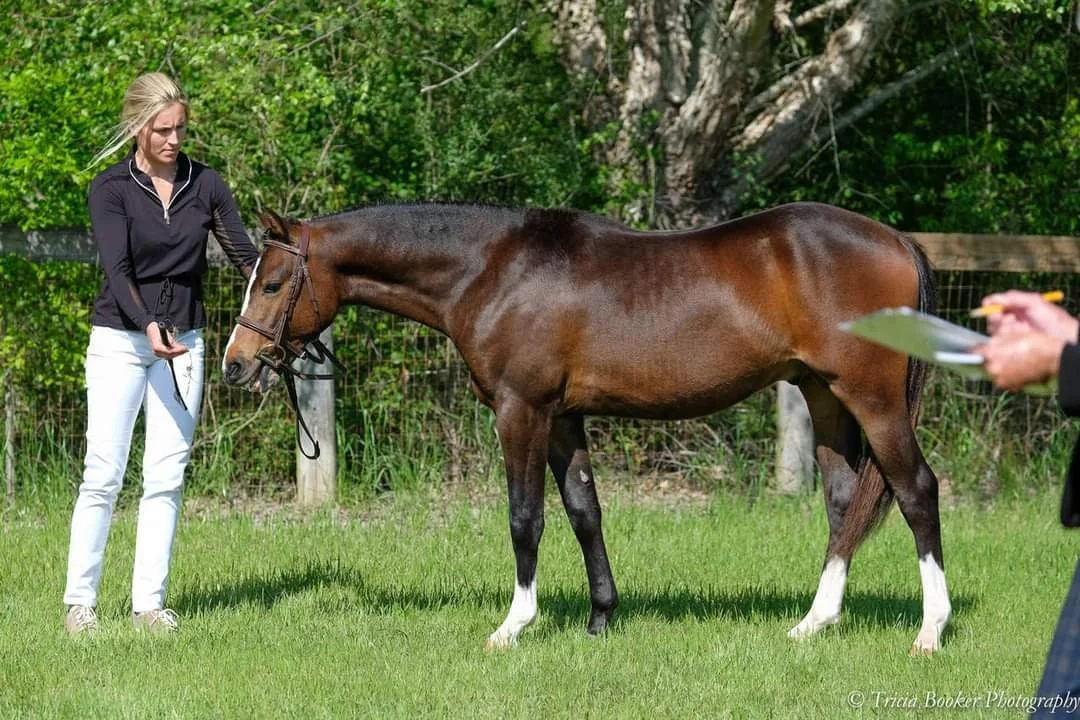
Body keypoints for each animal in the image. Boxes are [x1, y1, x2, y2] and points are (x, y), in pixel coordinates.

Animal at [222, 201, 950, 654]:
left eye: (273, 282)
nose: (235, 364)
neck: (491, 270)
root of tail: (898, 241)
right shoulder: (565, 417)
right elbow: (583, 512)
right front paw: (601, 618)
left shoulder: (522, 409)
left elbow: (526, 517)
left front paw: (514, 625)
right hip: (823, 397)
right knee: (844, 503)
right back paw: (814, 623)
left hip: (873, 398)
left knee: (915, 490)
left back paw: (930, 630)